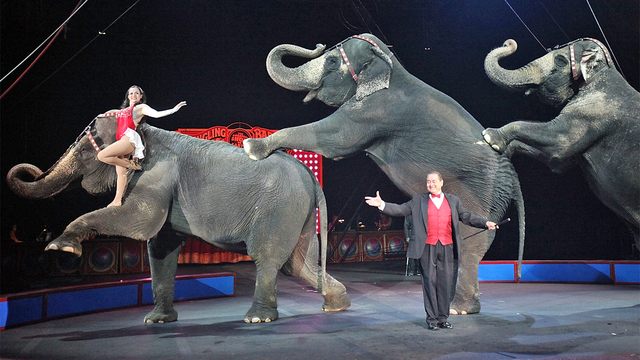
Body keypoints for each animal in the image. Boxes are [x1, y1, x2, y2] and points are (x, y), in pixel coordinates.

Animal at [6, 117, 350, 324]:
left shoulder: (156, 174)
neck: (145, 131)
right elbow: (160, 247)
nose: (29, 170)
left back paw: (257, 318)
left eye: (84, 147)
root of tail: (310, 175)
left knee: (267, 256)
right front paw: (156, 321)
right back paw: (338, 303)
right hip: (296, 211)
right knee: (298, 263)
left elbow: (140, 220)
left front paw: (60, 248)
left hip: (278, 206)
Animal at [245, 33, 524, 316]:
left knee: (471, 242)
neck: (391, 67)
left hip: (481, 193)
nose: (319, 45)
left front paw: (251, 147)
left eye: (332, 61)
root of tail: (511, 174)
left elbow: (335, 139)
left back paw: (459, 308)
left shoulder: (377, 111)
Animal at [482, 38, 636, 245]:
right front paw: (505, 151)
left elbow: (560, 143)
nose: (509, 43)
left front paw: (490, 137)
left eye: (561, 61)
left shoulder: (594, 110)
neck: (605, 71)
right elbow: (557, 163)